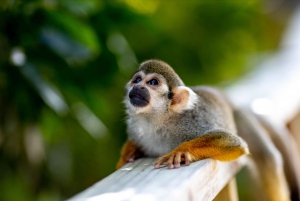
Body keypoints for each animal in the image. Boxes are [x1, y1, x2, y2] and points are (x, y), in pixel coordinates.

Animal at [116, 59, 292, 201]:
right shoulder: (135, 129)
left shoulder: (191, 123)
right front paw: (130, 151)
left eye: (153, 82)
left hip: (239, 118)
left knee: (266, 158)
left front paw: (181, 151)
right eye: (137, 79)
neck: (157, 120)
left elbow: (233, 142)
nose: (138, 86)